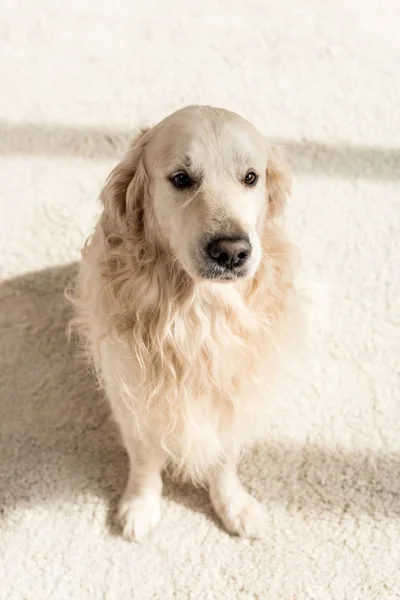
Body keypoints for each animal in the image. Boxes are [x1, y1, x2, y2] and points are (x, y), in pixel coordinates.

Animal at [69, 105, 300, 540]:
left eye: (250, 177)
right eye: (181, 178)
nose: (232, 251)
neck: (197, 309)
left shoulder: (233, 392)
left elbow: (224, 459)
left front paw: (234, 505)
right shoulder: (134, 397)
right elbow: (145, 458)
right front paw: (140, 506)